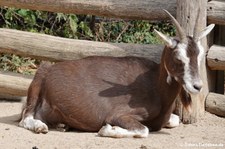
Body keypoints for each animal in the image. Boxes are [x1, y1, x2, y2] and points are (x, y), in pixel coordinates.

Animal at [18, 9, 214, 138]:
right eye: (178, 57)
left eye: (200, 55)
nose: (197, 86)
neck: (155, 87)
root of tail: (49, 69)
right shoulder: (118, 115)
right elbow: (144, 130)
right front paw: (108, 130)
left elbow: (174, 120)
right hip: (37, 82)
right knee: (25, 118)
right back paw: (40, 127)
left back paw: (62, 125)